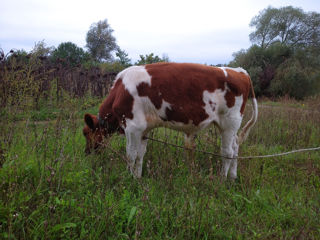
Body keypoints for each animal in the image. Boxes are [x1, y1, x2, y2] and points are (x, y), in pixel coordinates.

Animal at [83, 62, 258, 179]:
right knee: (235, 147)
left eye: (85, 133)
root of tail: (238, 71)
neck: (120, 90)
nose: (86, 152)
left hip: (229, 122)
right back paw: (232, 177)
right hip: (231, 126)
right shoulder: (143, 129)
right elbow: (140, 155)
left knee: (228, 152)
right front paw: (137, 178)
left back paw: (221, 180)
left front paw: (129, 179)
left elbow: (130, 155)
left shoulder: (132, 127)